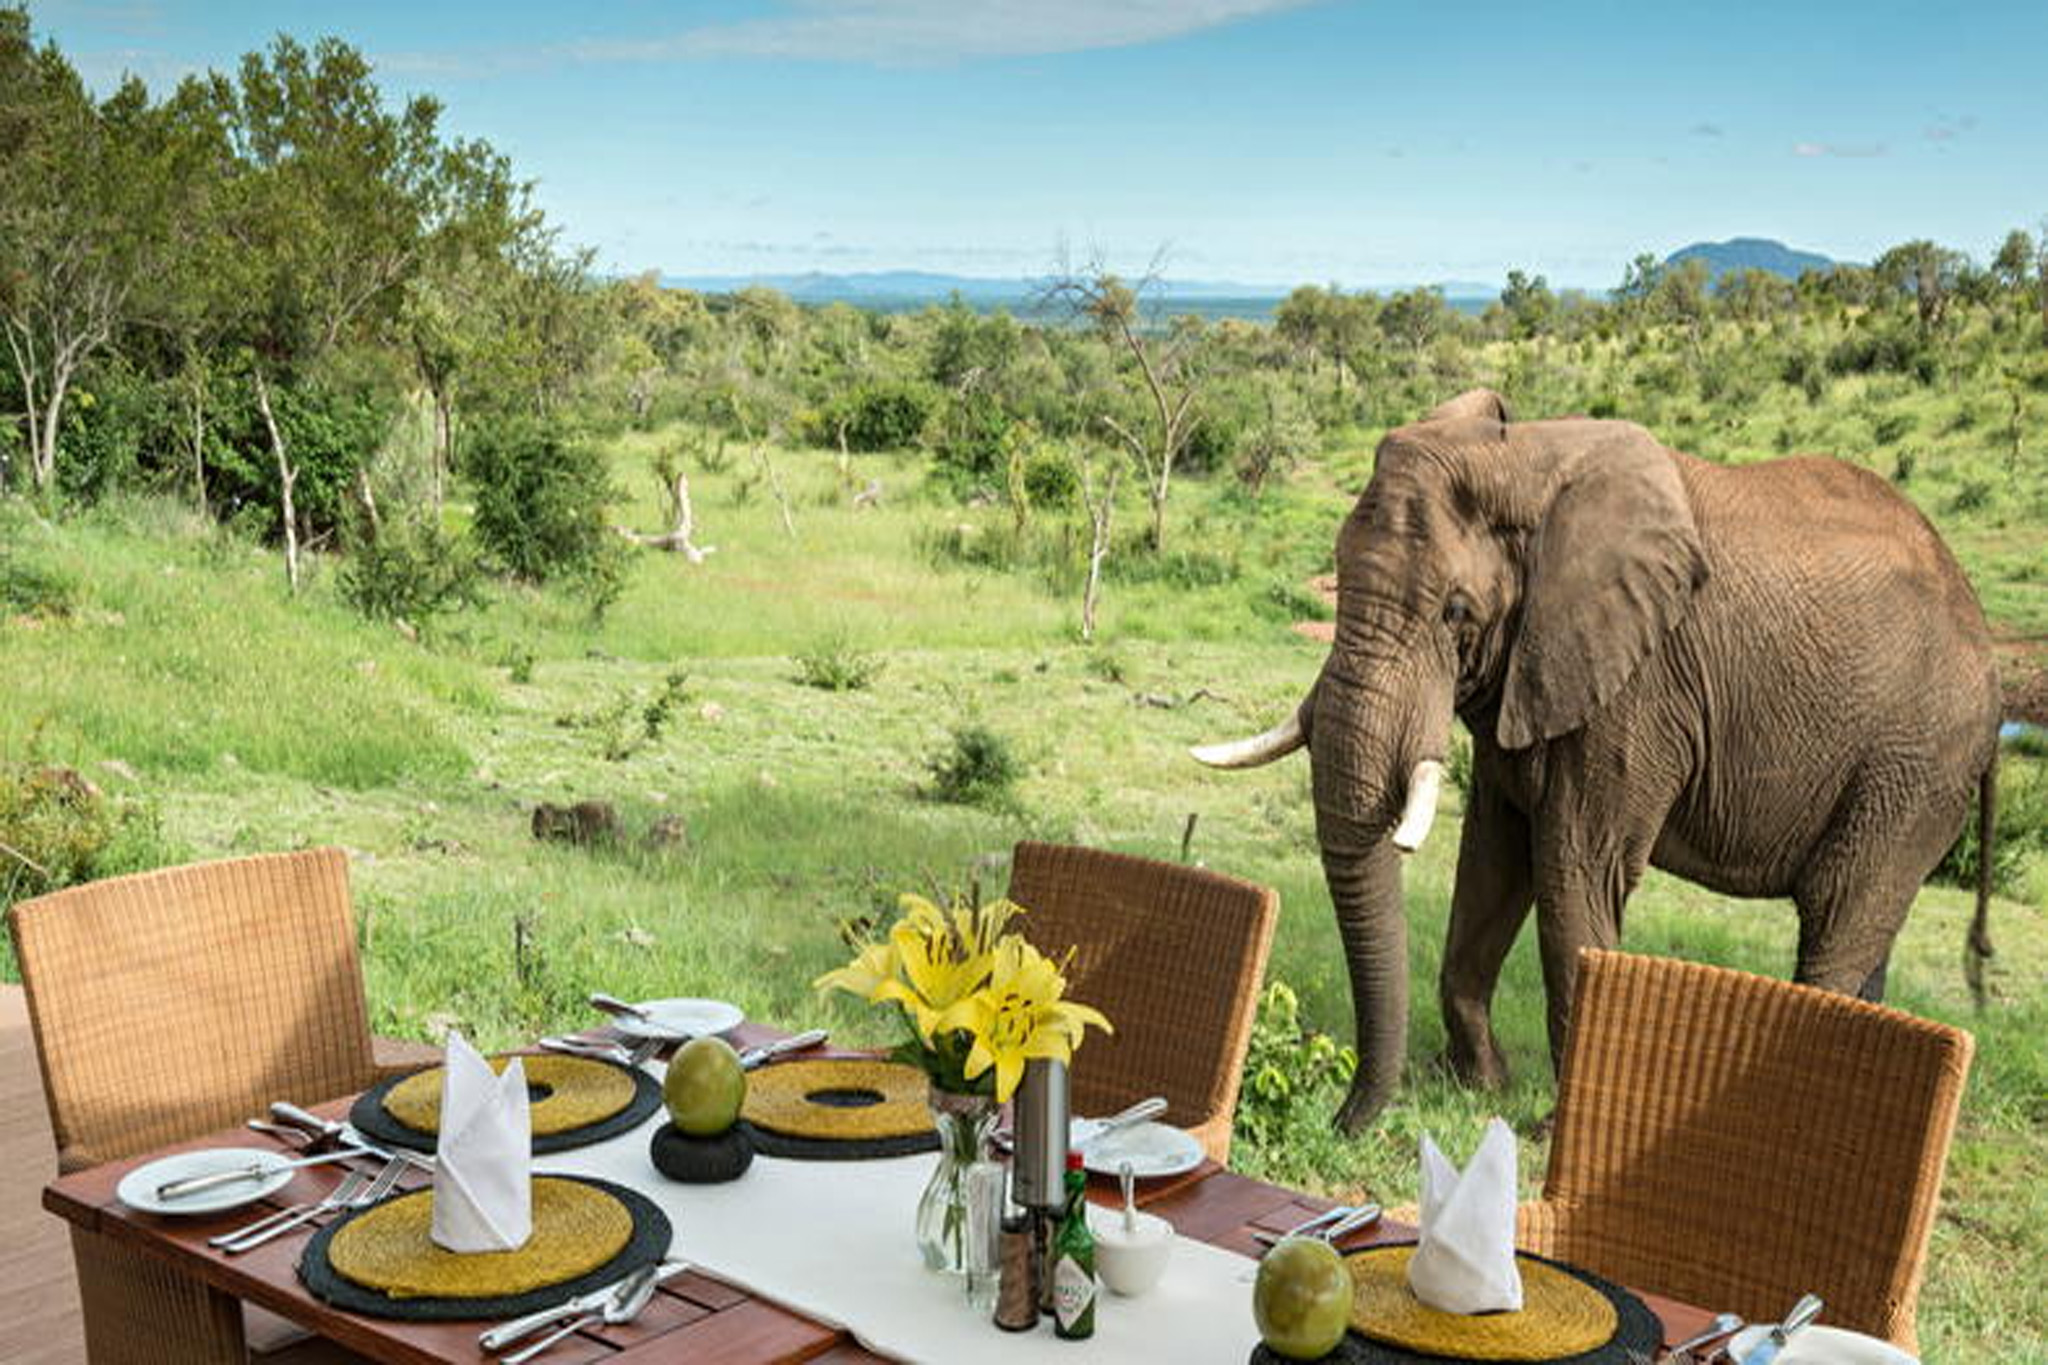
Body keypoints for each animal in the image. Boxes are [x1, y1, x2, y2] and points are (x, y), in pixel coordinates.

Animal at [1194, 389, 2001, 1132]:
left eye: (1456, 611)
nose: (1340, 1118)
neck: (1524, 459)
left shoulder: (1640, 687)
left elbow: (1574, 866)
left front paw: (1551, 1129)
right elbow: (1493, 857)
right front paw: (1475, 1082)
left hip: (1914, 764)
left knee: (1838, 916)